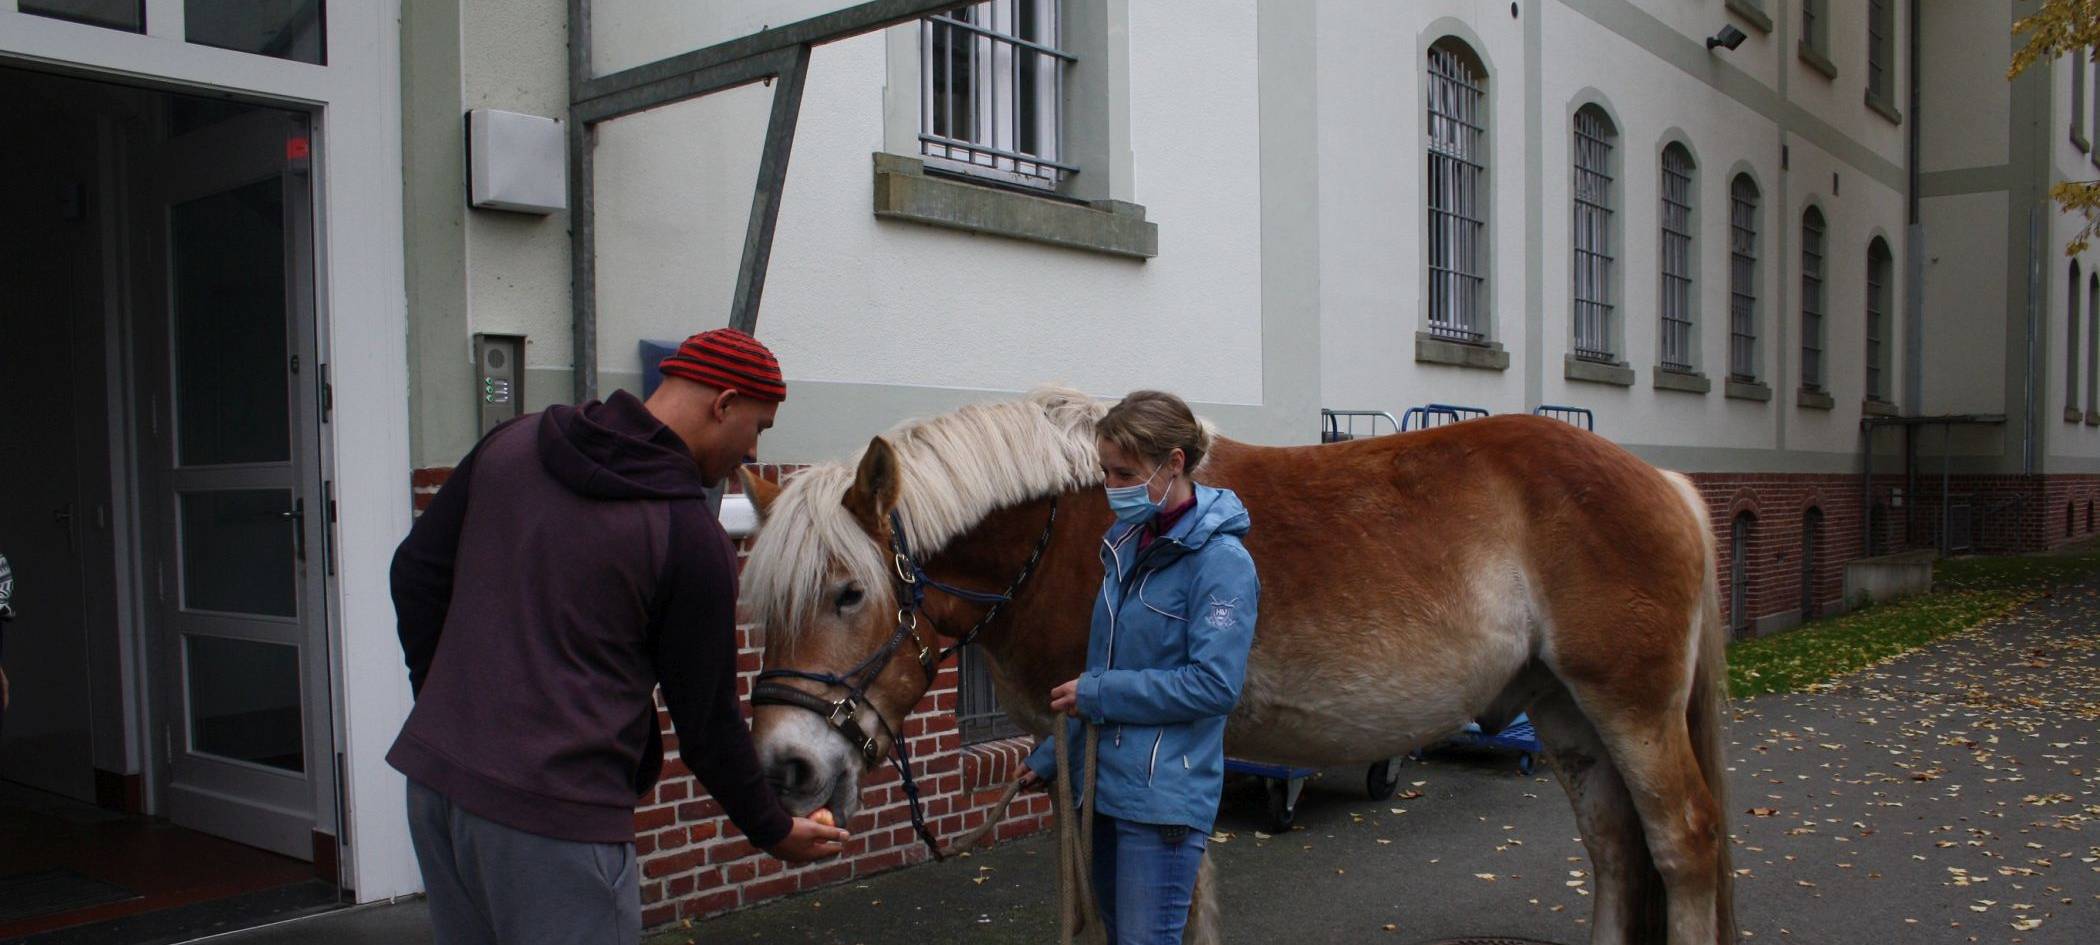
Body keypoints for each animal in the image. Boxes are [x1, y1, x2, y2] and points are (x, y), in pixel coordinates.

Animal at [737, 388, 1735, 945]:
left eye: (847, 593)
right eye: (769, 605)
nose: (784, 765)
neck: (1081, 531)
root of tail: (1665, 483)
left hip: (1631, 708)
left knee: (1682, 844)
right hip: (1567, 713)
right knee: (1614, 849)